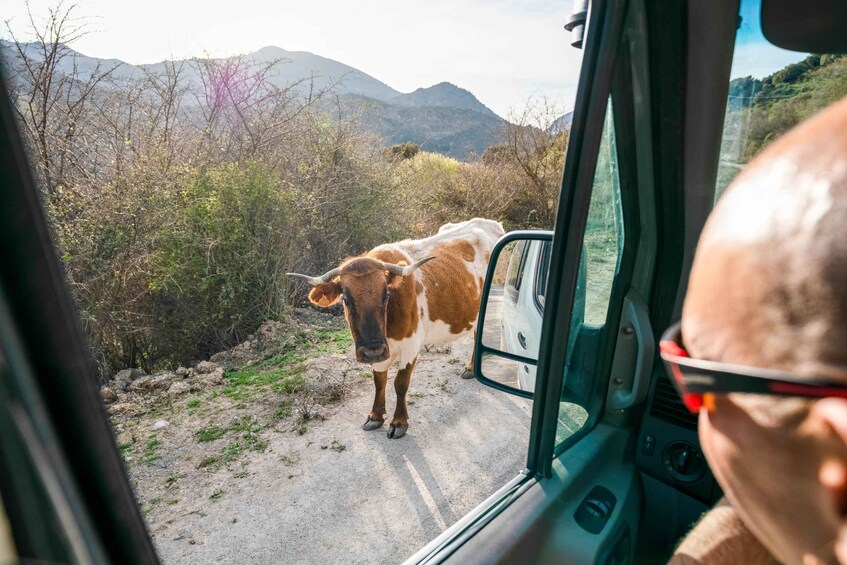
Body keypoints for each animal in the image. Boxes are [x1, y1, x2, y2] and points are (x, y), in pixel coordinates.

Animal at [288, 218, 506, 438]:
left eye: (386, 295)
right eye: (346, 299)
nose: (372, 350)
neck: (387, 329)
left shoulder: (410, 345)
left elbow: (400, 383)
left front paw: (399, 422)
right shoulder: (380, 353)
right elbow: (379, 381)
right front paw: (375, 416)